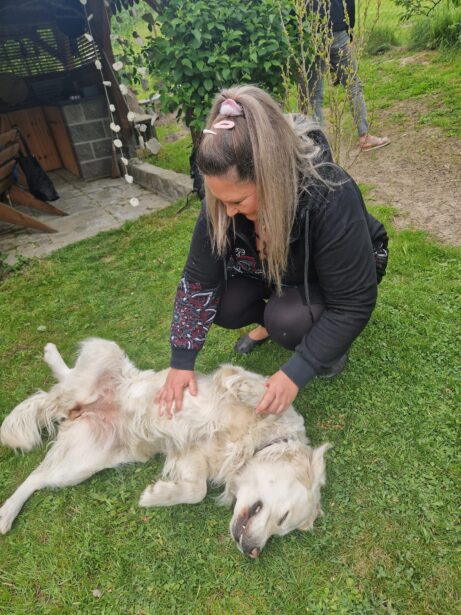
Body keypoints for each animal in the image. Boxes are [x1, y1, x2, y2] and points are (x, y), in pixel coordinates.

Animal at [0, 338, 330, 556]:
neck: (251, 447)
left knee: (37, 476)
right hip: (105, 353)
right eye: (284, 518)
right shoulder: (231, 382)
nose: (253, 552)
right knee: (67, 381)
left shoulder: (191, 457)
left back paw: (5, 514)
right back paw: (51, 353)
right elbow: (260, 388)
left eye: (280, 529)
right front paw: (249, 389)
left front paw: (157, 494)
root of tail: (75, 409)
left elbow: (195, 491)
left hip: (82, 463)